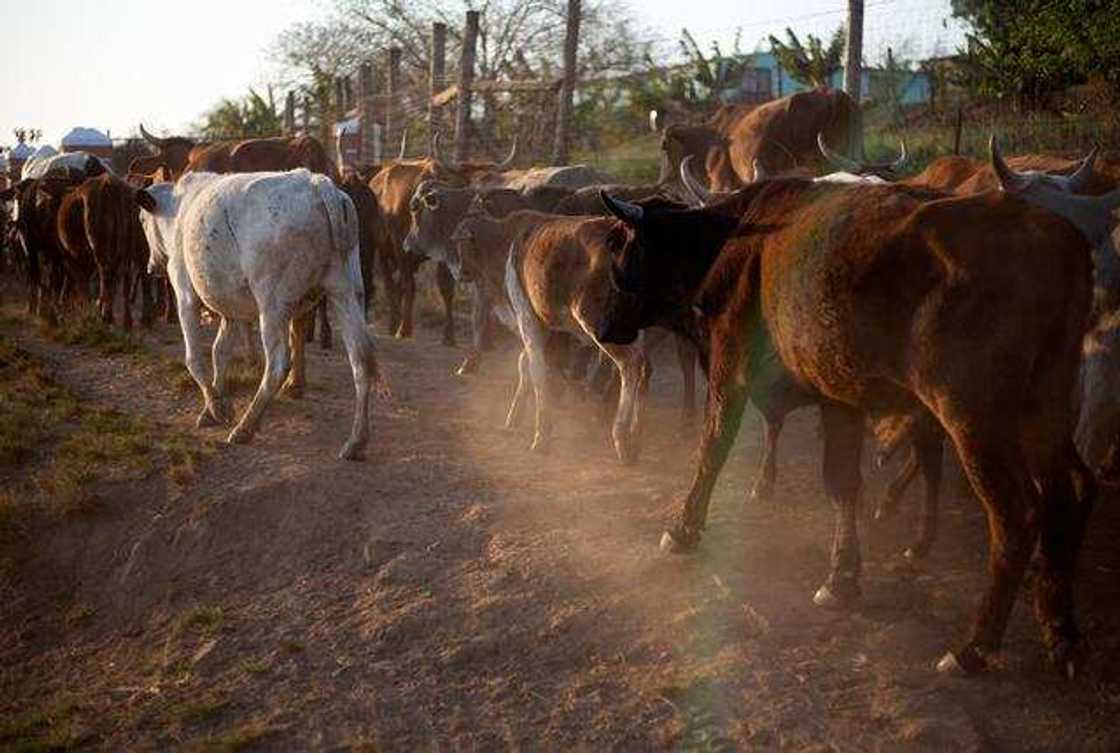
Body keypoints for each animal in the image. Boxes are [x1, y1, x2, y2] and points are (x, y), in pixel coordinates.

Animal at [136, 168, 389, 459]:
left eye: (142, 220)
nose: (151, 266)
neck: (180, 208)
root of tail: (317, 183)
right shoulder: (231, 309)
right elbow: (220, 351)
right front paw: (216, 404)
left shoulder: (186, 295)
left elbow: (195, 359)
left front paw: (215, 407)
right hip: (346, 293)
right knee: (361, 360)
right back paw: (356, 441)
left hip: (273, 305)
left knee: (278, 364)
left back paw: (246, 427)